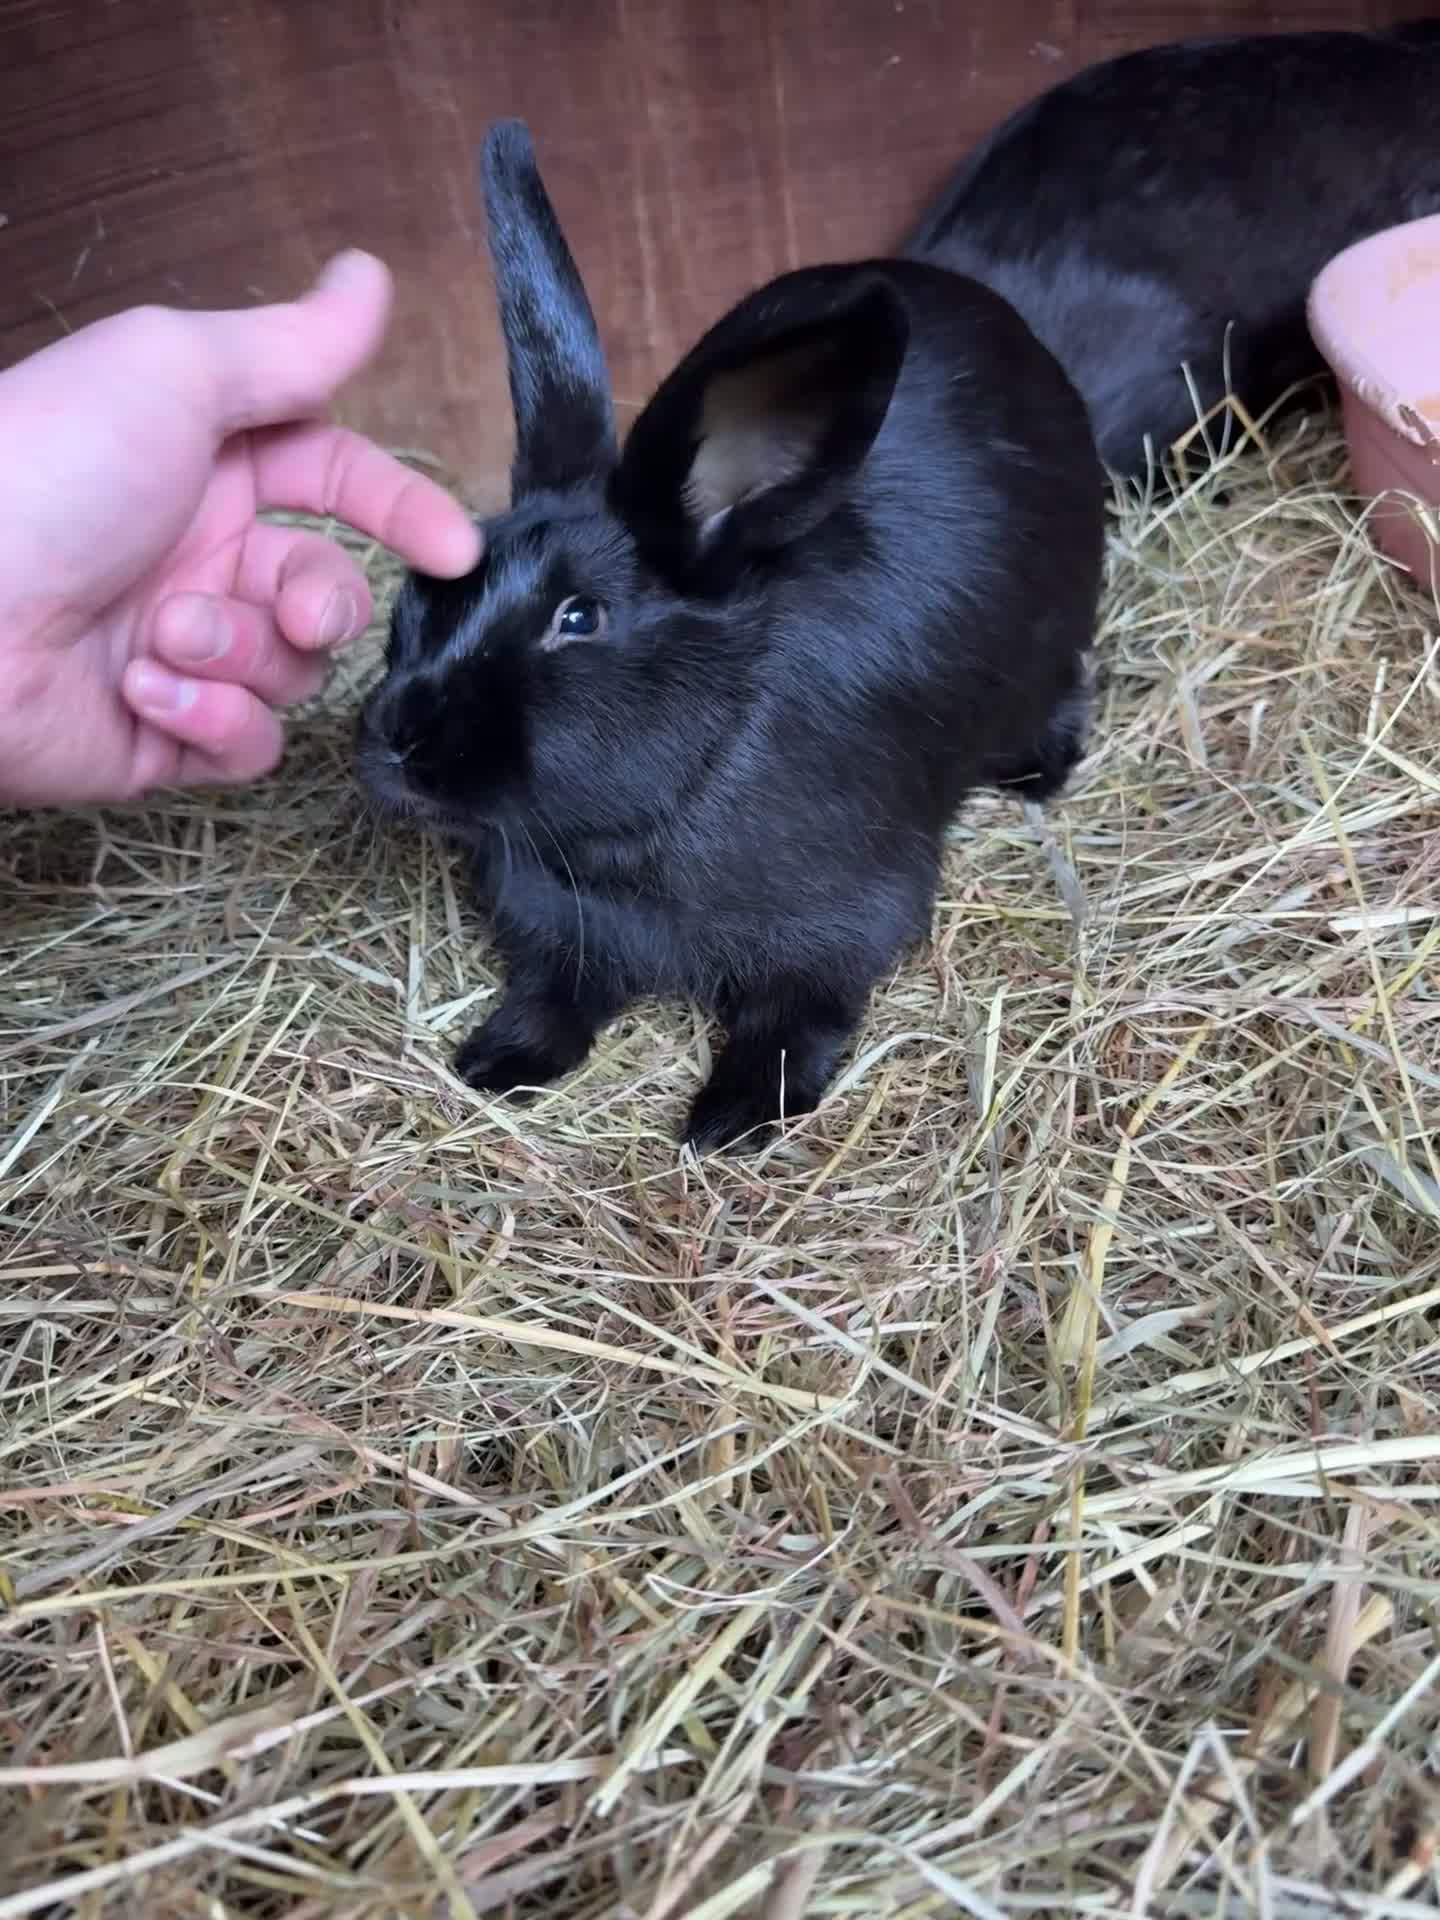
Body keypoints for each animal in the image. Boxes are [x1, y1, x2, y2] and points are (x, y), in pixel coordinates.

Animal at [354, 121, 1104, 1154]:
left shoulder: (843, 924)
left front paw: (730, 1119)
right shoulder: (558, 930)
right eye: (422, 595)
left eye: (579, 618)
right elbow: (553, 1002)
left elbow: (794, 1021)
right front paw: (497, 1063)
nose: (394, 743)